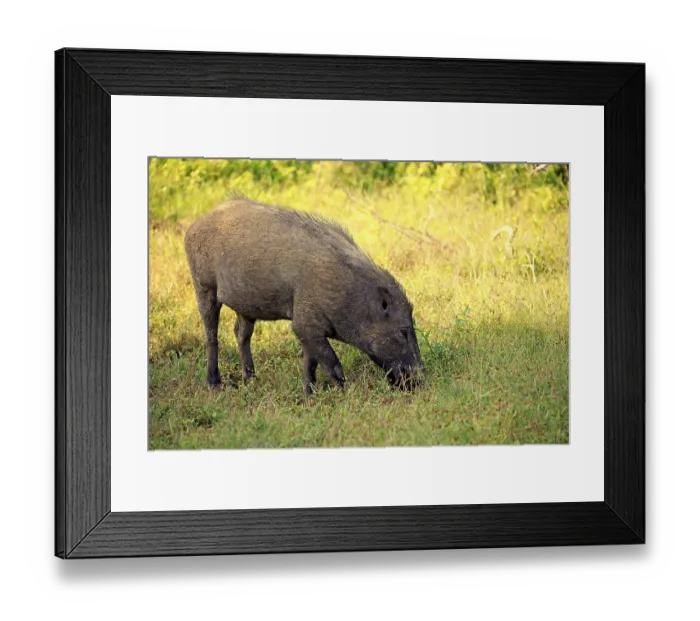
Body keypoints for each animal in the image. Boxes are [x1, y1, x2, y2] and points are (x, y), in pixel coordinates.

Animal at [184, 196, 424, 395]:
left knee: (241, 334)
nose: (421, 380)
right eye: (403, 332)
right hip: (203, 286)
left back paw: (251, 380)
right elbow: (331, 361)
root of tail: (194, 225)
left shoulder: (309, 326)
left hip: (245, 308)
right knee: (211, 334)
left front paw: (310, 394)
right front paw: (344, 392)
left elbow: (311, 362)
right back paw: (215, 385)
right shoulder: (304, 323)